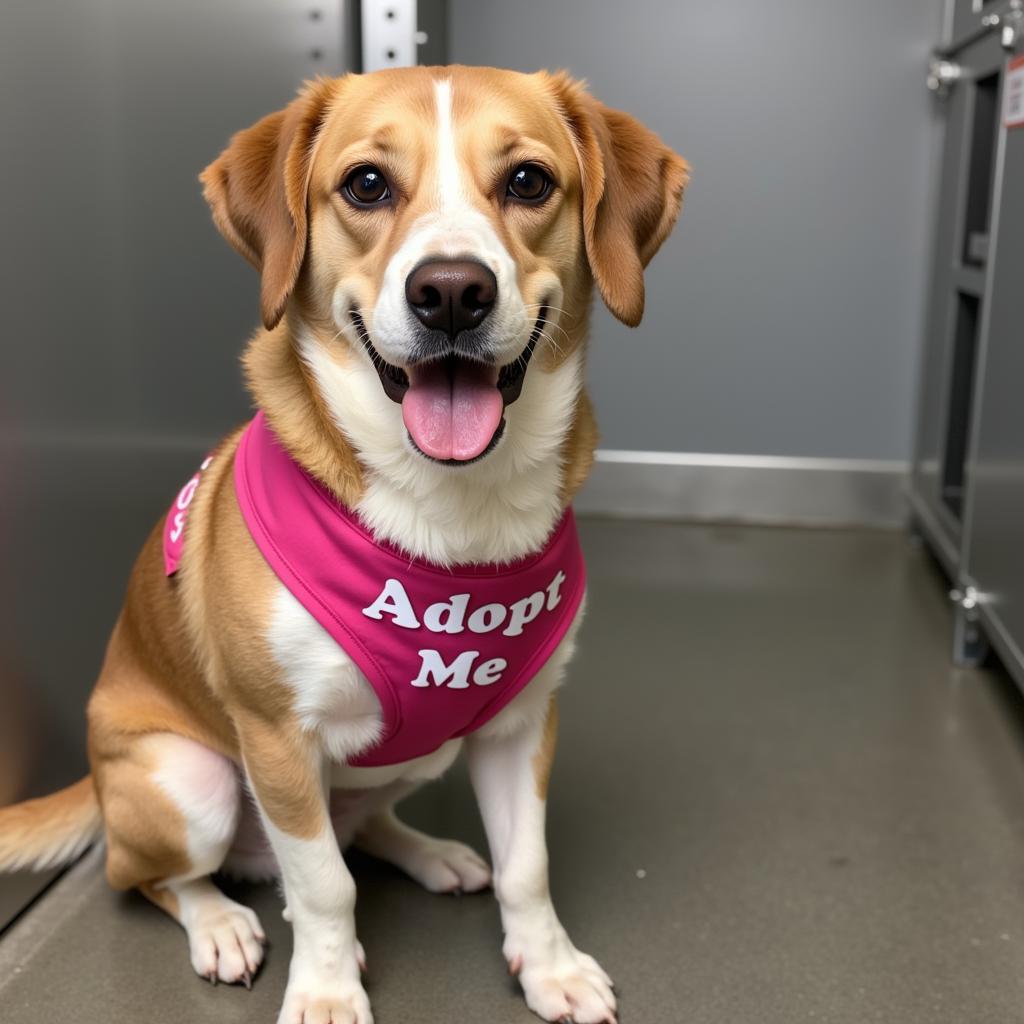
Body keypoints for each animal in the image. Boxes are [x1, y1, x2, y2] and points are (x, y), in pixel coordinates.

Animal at [2, 66, 688, 1024]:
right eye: (366, 185)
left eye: (528, 182)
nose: (451, 291)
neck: (450, 515)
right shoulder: (278, 741)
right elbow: (324, 886)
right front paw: (327, 989)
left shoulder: (519, 726)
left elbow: (527, 864)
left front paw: (549, 967)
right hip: (192, 785)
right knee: (151, 877)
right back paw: (221, 923)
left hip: (416, 757)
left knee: (367, 828)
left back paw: (433, 853)